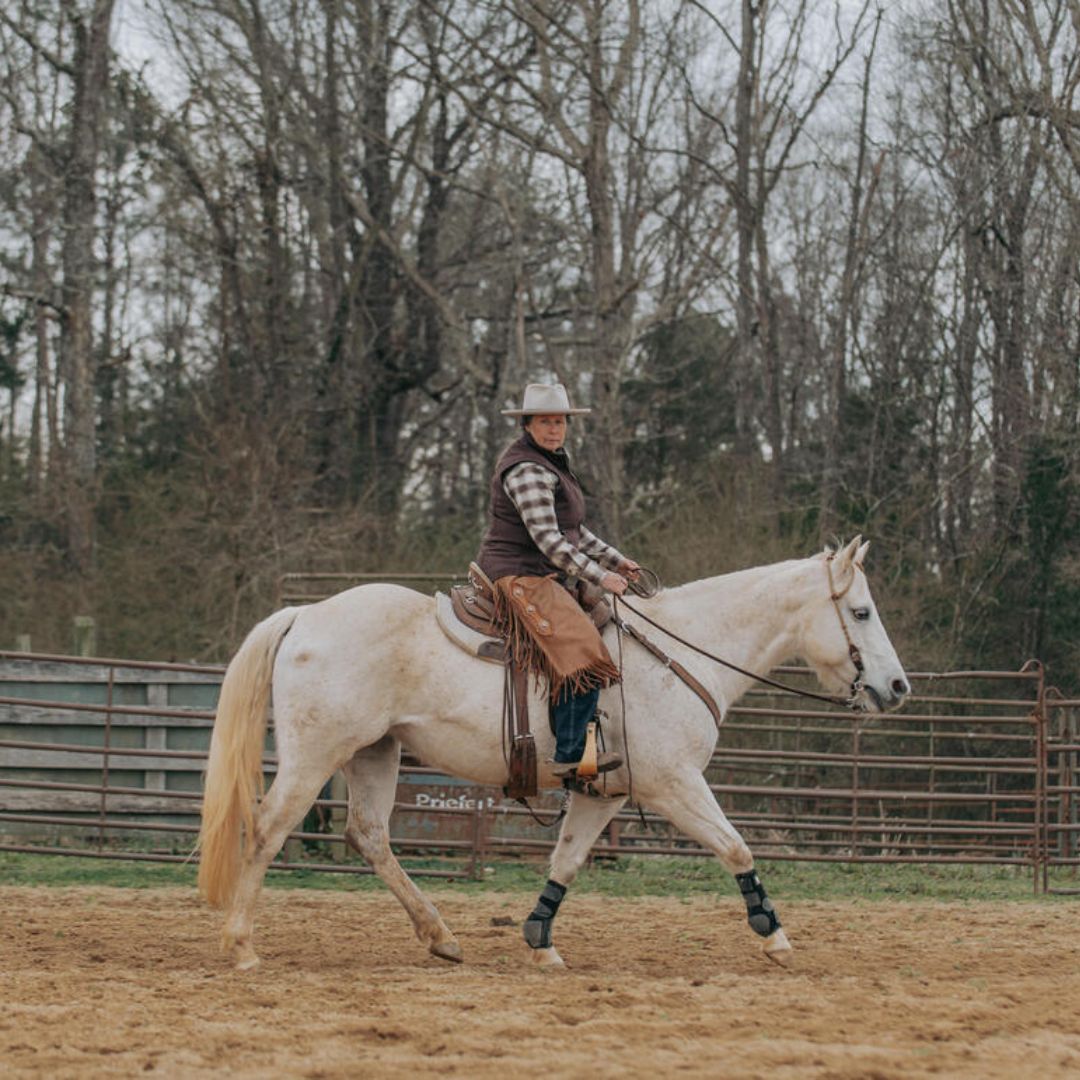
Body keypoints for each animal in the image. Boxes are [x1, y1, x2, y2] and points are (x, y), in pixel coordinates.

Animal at [197, 537, 909, 971]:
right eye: (862, 612)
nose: (897, 687)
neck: (682, 651)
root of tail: (305, 613)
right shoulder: (674, 784)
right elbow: (736, 846)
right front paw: (775, 935)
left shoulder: (606, 794)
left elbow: (565, 861)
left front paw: (540, 943)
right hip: (317, 755)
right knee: (267, 828)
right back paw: (240, 946)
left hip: (374, 752)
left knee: (368, 836)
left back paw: (441, 937)